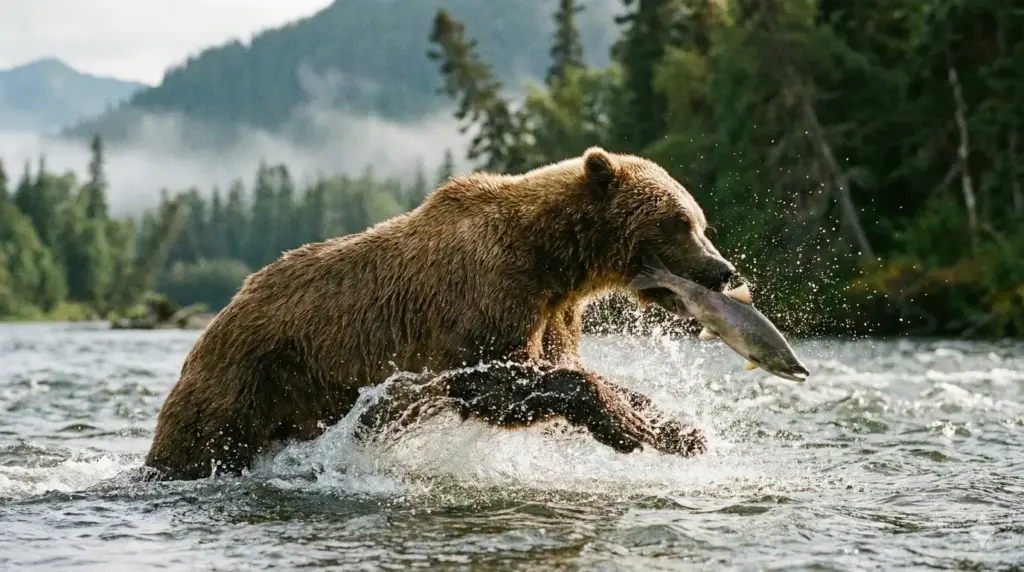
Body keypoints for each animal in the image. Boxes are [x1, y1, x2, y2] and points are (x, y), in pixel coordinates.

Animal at [142, 147, 737, 480]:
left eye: (701, 221)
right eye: (680, 221)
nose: (723, 269)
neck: (553, 260)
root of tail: (221, 314)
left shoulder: (554, 313)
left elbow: (565, 365)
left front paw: (677, 429)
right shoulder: (485, 294)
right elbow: (491, 382)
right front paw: (627, 423)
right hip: (253, 374)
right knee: (199, 439)